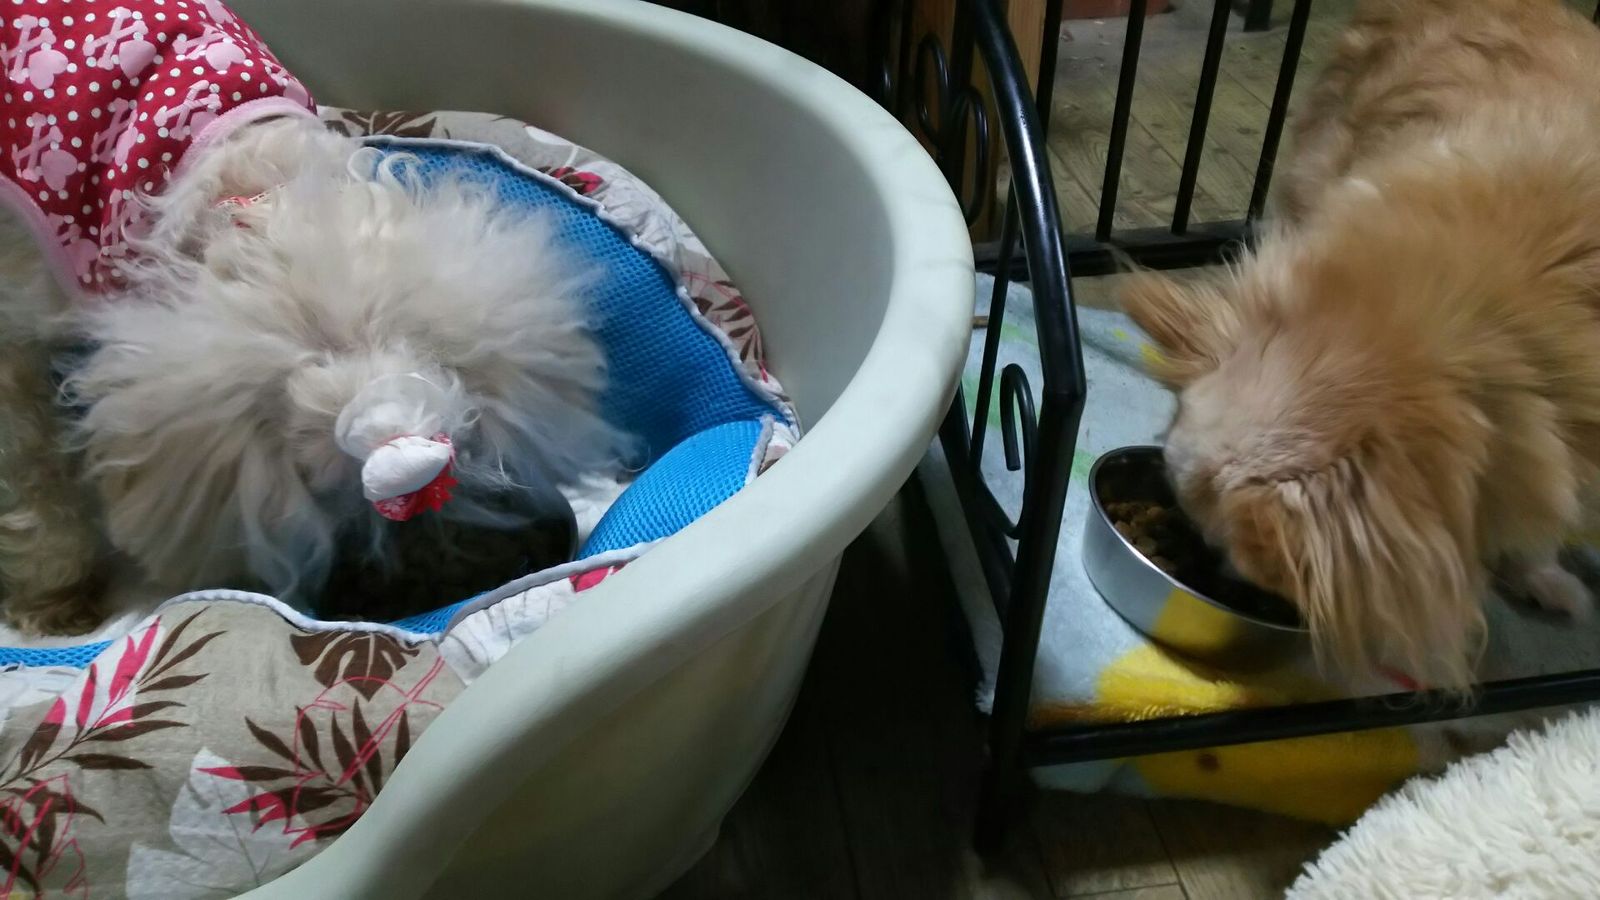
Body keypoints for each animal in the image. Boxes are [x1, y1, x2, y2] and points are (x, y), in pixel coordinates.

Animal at [0, 1, 624, 633]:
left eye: (464, 437)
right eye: (345, 499)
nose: (553, 540)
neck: (250, 196)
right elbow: (28, 478)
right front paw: (59, 596)